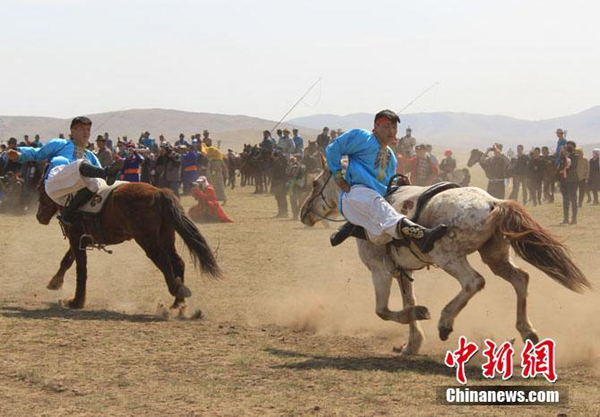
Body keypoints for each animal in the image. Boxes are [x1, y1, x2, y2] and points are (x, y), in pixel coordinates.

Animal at [37, 181, 220, 308]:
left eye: (39, 190)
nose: (39, 217)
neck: (72, 199)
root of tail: (158, 192)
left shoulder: (75, 238)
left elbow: (80, 269)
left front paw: (76, 302)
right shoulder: (81, 240)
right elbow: (67, 260)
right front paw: (55, 282)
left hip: (148, 242)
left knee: (163, 262)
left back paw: (177, 290)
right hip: (166, 239)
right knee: (177, 262)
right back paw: (178, 302)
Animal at [300, 154, 592, 356]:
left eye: (315, 183)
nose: (304, 213)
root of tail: (494, 203)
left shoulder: (380, 270)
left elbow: (382, 310)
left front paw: (421, 315)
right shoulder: (401, 271)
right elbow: (406, 301)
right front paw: (412, 343)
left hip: (448, 256)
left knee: (474, 282)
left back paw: (445, 321)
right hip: (495, 255)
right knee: (520, 279)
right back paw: (528, 331)